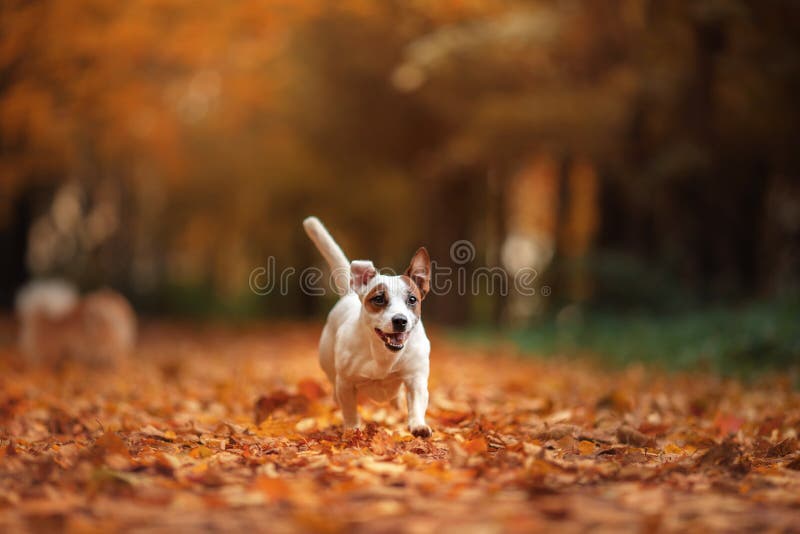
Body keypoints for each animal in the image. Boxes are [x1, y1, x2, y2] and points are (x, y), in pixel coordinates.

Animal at [304, 218, 432, 440]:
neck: (383, 355)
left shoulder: (416, 378)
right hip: (329, 367)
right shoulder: (346, 384)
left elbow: (416, 403)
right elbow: (349, 410)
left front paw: (418, 425)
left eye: (412, 299)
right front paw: (352, 430)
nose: (400, 320)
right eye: (379, 299)